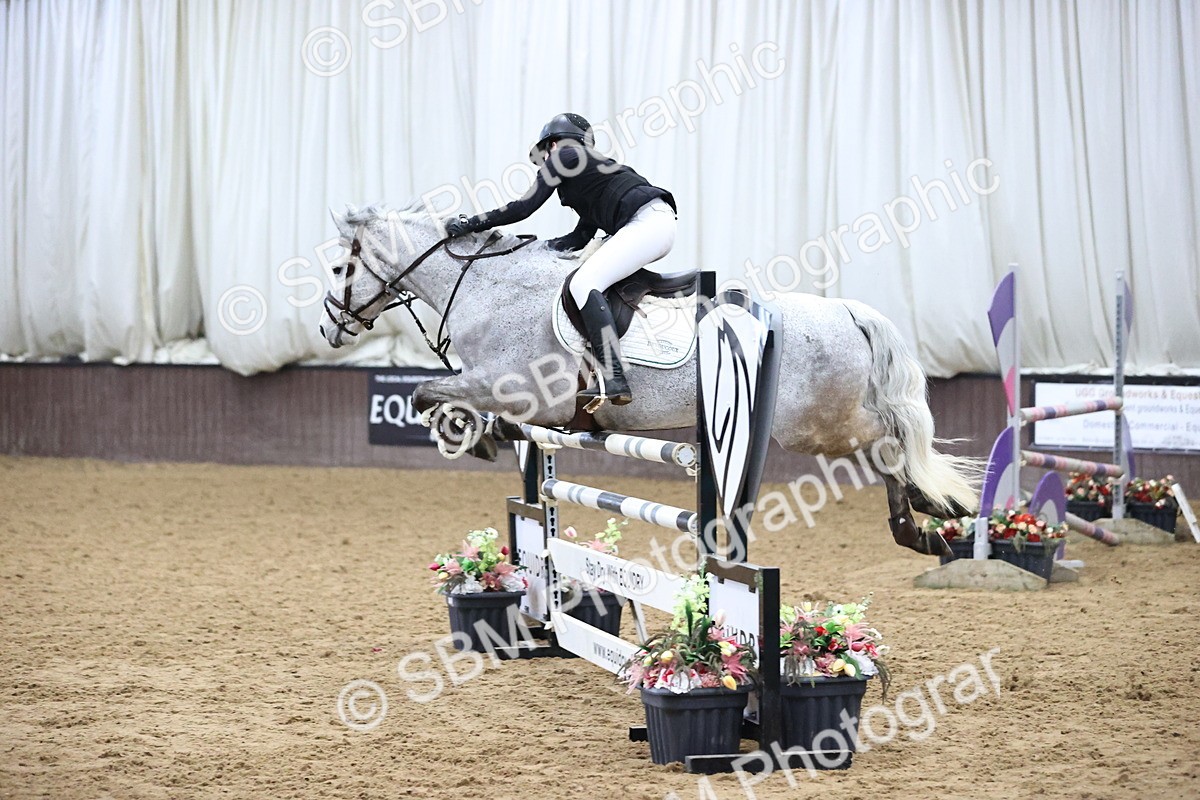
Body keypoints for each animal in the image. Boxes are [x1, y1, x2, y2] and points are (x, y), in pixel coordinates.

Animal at [320, 203, 979, 555]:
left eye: (336, 269)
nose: (329, 327)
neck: (488, 288)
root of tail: (846, 310)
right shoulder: (529, 409)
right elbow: (478, 415)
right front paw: (485, 436)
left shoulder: (515, 388)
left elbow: (426, 392)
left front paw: (465, 434)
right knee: (888, 445)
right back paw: (924, 521)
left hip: (815, 425)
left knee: (890, 441)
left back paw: (923, 515)